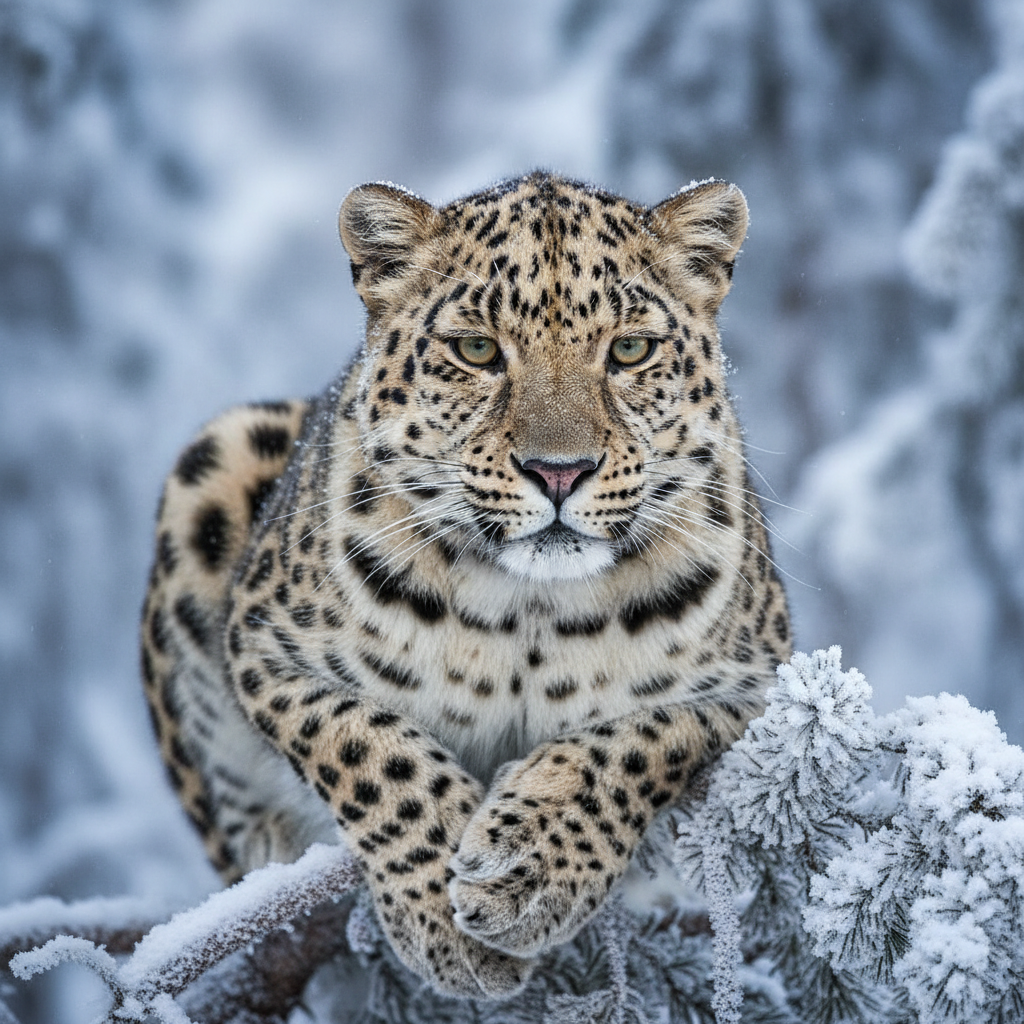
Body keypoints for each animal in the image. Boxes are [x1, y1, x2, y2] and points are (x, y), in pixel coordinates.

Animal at [140, 171, 791, 1000]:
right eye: (477, 350)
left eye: (630, 350)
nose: (558, 471)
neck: (532, 612)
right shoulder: (263, 646)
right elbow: (369, 748)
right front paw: (444, 919)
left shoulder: (758, 685)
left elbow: (638, 743)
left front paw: (530, 866)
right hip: (218, 456)